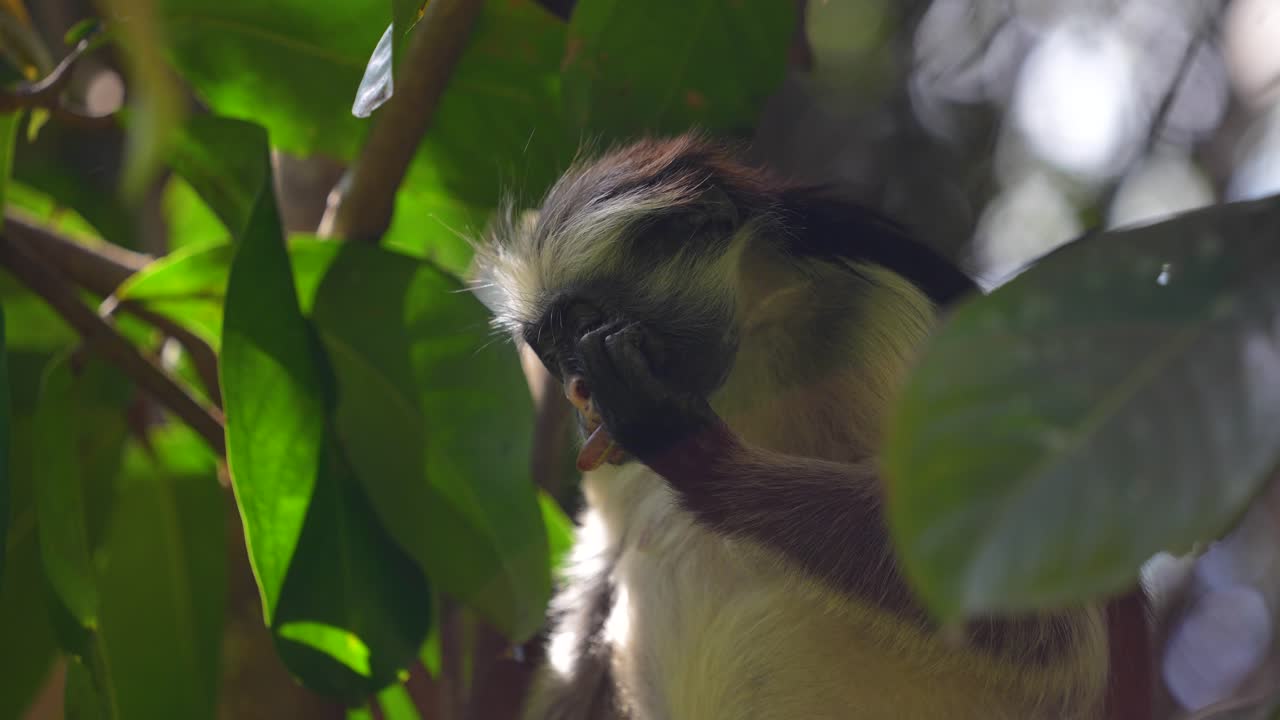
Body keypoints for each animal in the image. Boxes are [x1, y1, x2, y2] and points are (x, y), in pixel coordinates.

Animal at [471, 134, 1152, 719]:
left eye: (584, 323)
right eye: (551, 350)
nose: (576, 389)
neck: (757, 335)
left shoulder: (885, 312)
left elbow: (1042, 619)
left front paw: (697, 454)